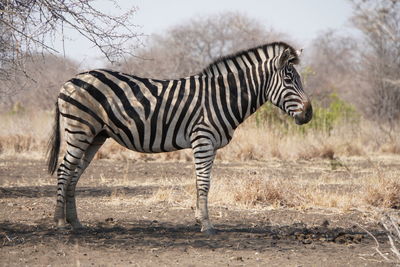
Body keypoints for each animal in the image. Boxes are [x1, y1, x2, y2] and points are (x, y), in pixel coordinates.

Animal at [47, 41, 312, 234]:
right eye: (289, 80)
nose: (309, 114)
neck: (223, 97)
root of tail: (69, 81)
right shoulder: (203, 139)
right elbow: (204, 183)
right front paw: (206, 225)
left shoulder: (207, 144)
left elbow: (199, 181)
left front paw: (198, 219)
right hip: (79, 130)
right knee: (64, 170)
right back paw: (59, 223)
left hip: (95, 136)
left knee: (74, 173)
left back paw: (75, 223)